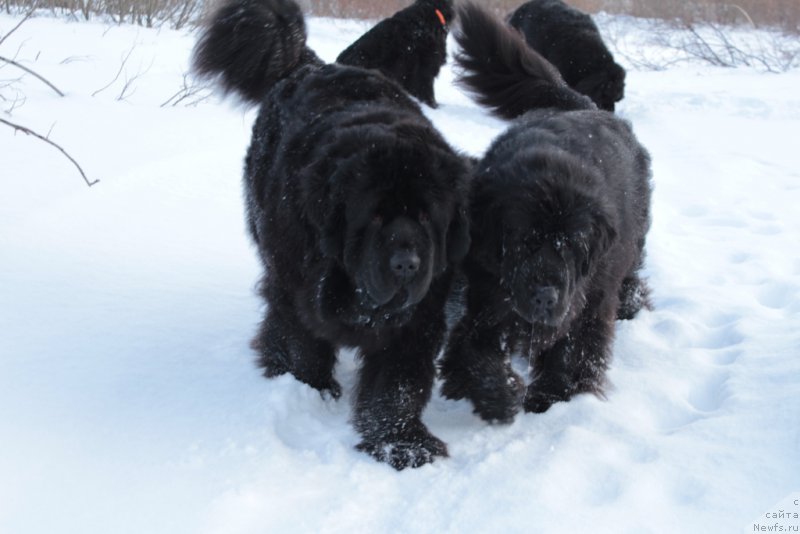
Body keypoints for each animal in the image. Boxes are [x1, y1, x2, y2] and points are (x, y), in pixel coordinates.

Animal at [192, 0, 476, 468]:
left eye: (425, 216)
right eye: (374, 217)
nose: (406, 263)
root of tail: (310, 65)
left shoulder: (423, 309)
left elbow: (398, 380)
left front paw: (402, 442)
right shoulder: (296, 286)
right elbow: (302, 339)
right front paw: (312, 388)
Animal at [440, 3, 652, 422]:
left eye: (572, 245)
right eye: (523, 240)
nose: (545, 296)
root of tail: (590, 107)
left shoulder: (587, 297)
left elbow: (572, 349)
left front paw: (551, 396)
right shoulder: (485, 290)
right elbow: (473, 345)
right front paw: (498, 393)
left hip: (629, 245)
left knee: (632, 273)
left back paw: (632, 302)